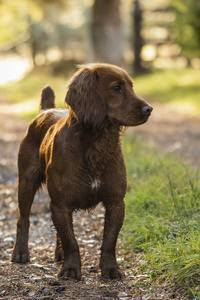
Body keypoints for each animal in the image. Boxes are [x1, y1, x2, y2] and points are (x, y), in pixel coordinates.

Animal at [10, 62, 152, 280]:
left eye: (131, 86)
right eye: (116, 88)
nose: (149, 109)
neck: (96, 144)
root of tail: (46, 110)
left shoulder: (115, 202)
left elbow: (109, 241)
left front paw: (111, 269)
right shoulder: (60, 204)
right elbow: (72, 241)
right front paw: (70, 269)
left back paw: (58, 253)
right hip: (26, 182)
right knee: (23, 219)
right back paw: (20, 252)